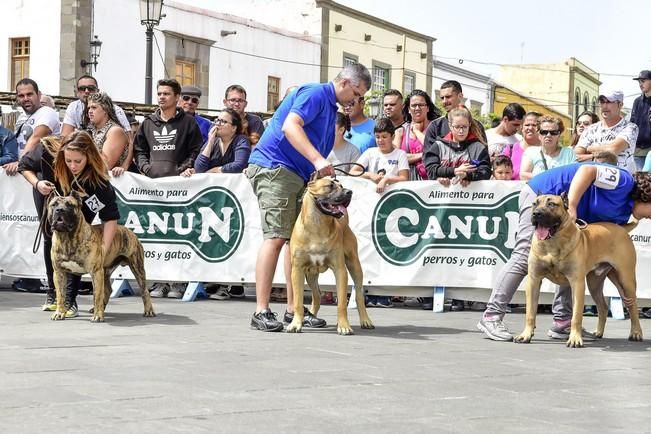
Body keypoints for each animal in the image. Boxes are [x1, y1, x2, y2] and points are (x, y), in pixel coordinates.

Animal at [48, 191, 155, 322]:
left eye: (70, 205)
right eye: (54, 204)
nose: (59, 210)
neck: (67, 238)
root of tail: (130, 231)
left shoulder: (95, 272)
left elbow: (97, 295)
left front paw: (98, 316)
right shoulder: (59, 272)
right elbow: (60, 294)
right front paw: (59, 312)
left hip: (137, 268)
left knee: (144, 291)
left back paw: (148, 310)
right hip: (105, 271)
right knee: (108, 290)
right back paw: (96, 309)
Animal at [288, 176, 374, 336]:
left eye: (342, 185)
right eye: (330, 186)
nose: (349, 192)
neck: (318, 225)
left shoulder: (340, 270)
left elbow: (341, 303)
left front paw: (344, 326)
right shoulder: (297, 269)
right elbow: (297, 301)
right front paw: (296, 324)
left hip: (354, 265)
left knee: (359, 295)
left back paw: (366, 321)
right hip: (310, 274)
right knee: (317, 295)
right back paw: (310, 317)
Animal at [516, 195, 644, 348]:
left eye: (551, 204)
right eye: (534, 204)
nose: (536, 213)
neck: (552, 243)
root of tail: (621, 228)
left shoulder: (577, 283)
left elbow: (576, 315)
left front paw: (575, 339)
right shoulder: (534, 280)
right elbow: (530, 312)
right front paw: (525, 335)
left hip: (626, 279)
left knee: (633, 306)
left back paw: (636, 333)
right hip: (595, 283)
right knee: (603, 306)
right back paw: (598, 332)